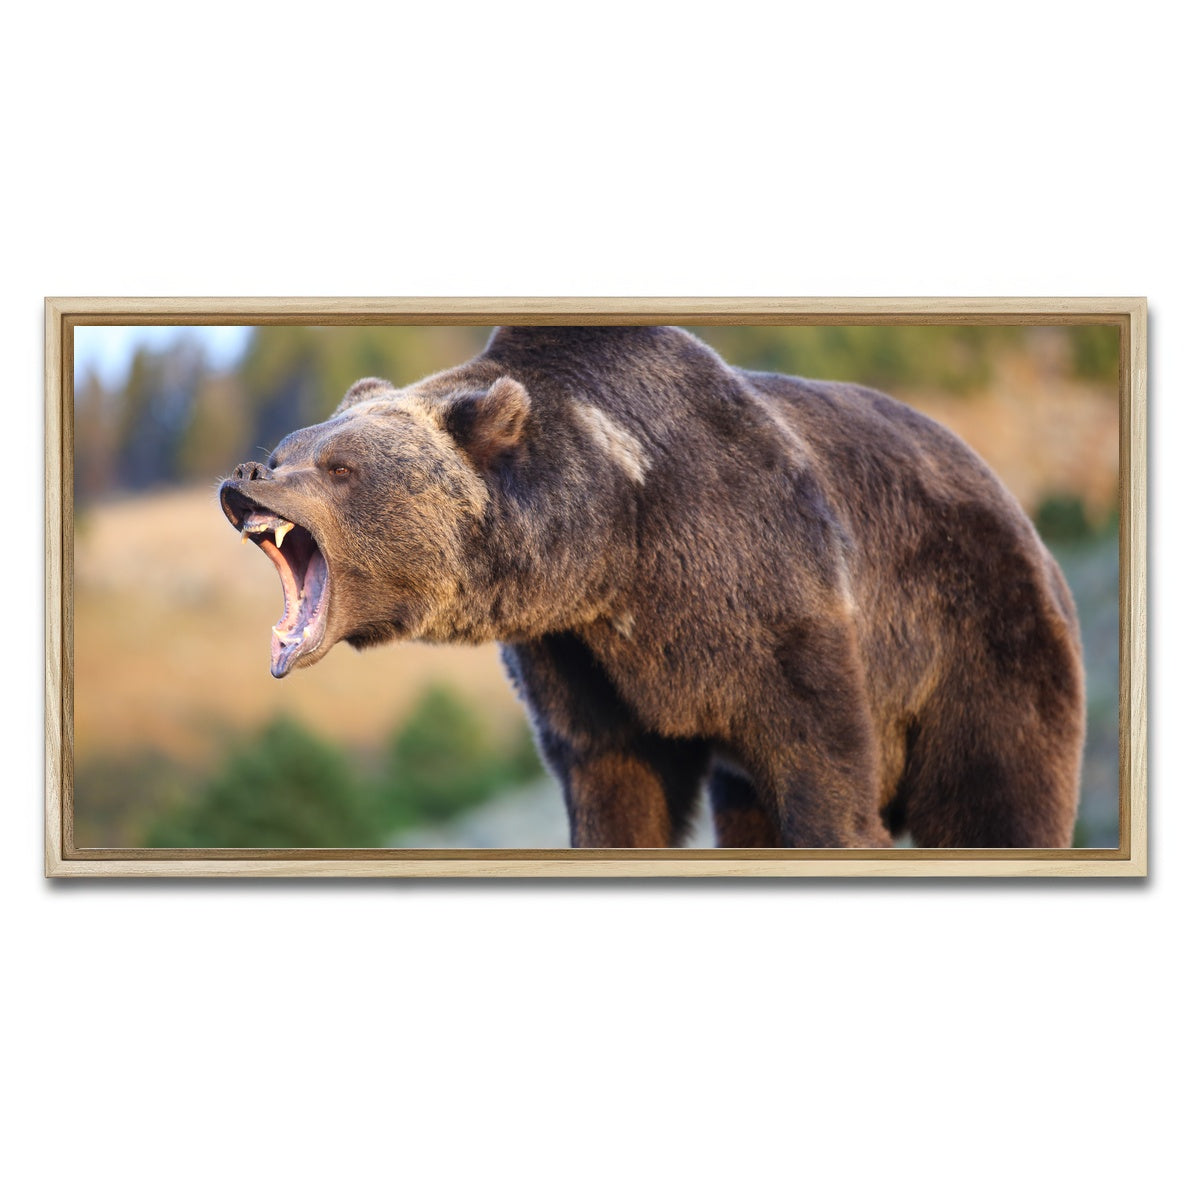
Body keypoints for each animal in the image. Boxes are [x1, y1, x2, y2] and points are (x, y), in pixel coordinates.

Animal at [219, 325, 1085, 849]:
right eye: (290, 447)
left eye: (339, 467)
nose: (247, 474)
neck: (615, 549)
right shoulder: (579, 660)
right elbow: (615, 784)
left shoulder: (775, 595)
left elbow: (824, 768)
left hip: (977, 638)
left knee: (997, 792)